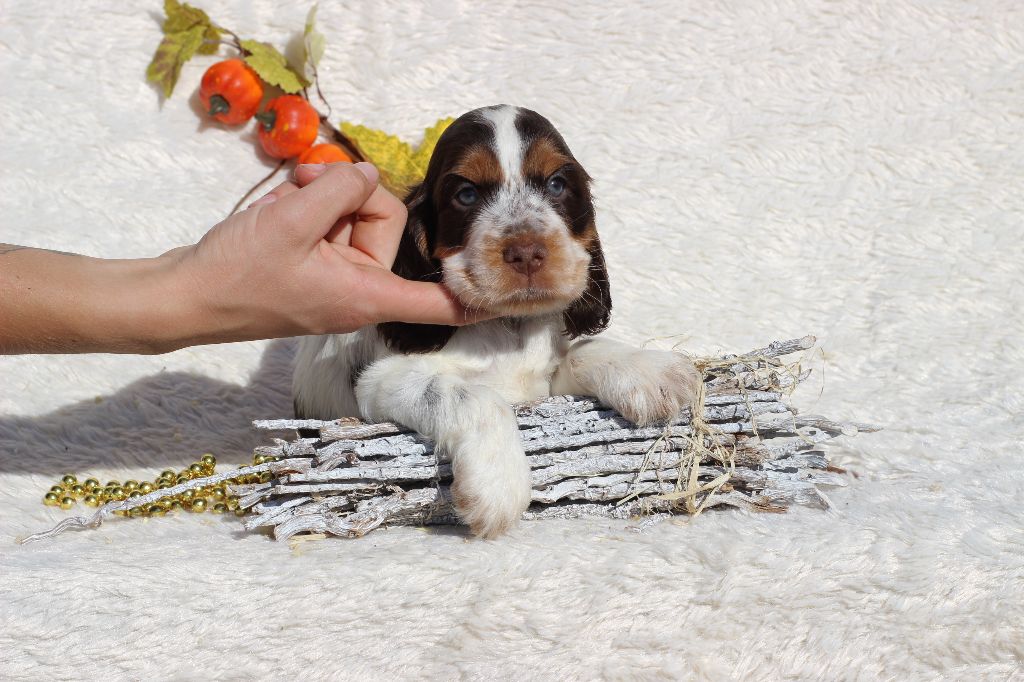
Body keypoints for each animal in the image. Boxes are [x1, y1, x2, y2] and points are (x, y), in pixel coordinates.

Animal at [293, 105, 700, 538]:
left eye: (557, 184)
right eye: (466, 194)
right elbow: (471, 395)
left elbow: (582, 350)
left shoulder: (543, 386)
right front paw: (498, 486)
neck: (508, 327)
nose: (527, 252)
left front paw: (651, 371)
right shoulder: (380, 381)